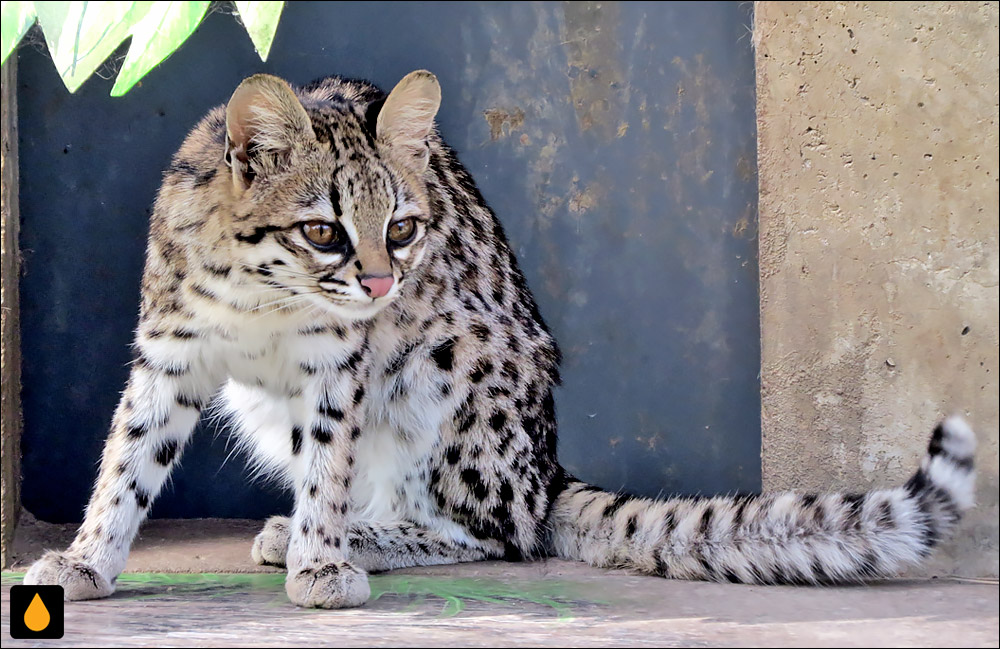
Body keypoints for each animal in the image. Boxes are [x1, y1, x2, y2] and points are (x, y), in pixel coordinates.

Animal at [23, 72, 976, 608]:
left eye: (403, 228)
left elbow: (330, 464)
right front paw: (85, 559)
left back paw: (357, 537)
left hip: (453, 370)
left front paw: (323, 558)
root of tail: (545, 464)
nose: (381, 286)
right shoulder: (170, 350)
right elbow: (126, 461)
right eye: (325, 231)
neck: (265, 300)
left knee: (499, 529)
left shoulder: (340, 365)